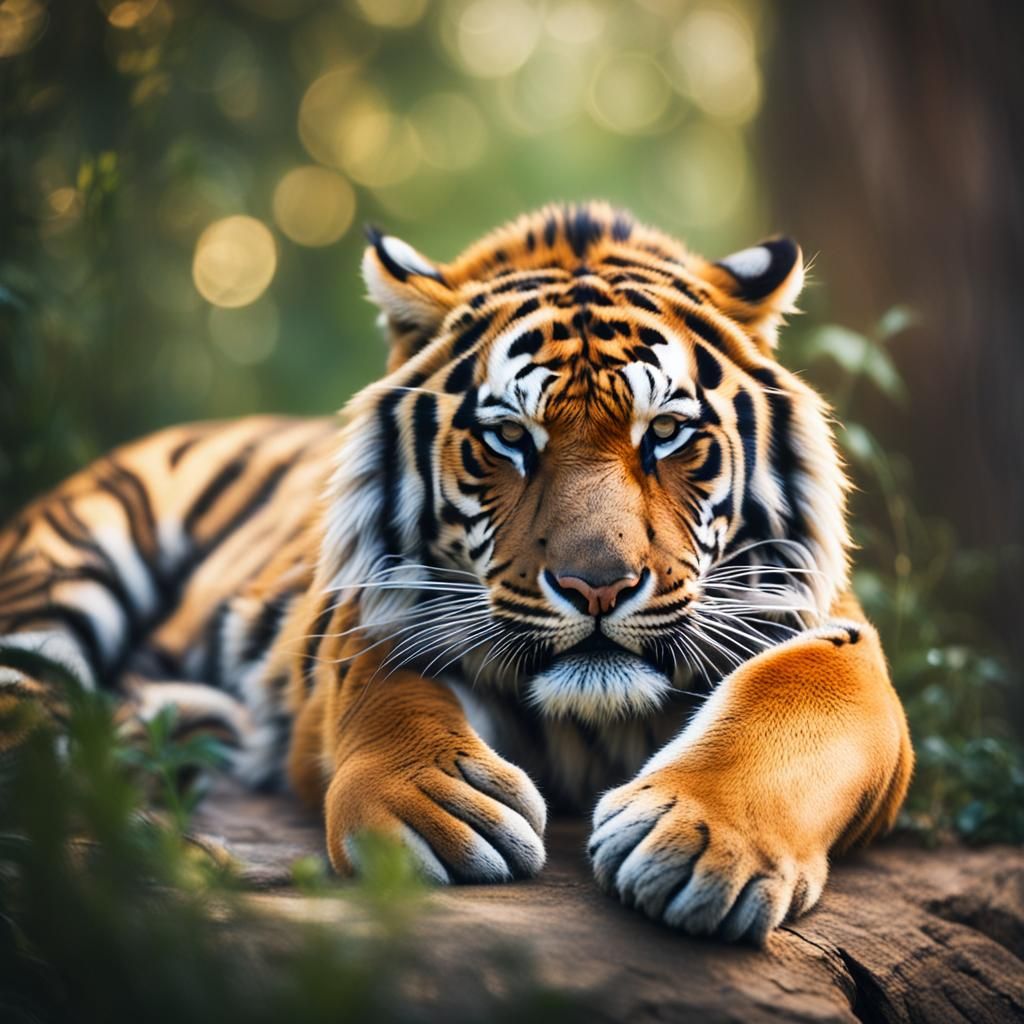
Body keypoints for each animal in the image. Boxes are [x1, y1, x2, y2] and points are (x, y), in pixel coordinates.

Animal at [0, 202, 912, 944]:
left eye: (666, 433)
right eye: (511, 437)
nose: (598, 587)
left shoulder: (834, 630)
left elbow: (801, 695)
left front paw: (702, 842)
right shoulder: (366, 618)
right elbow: (386, 687)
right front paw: (432, 804)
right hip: (70, 558)